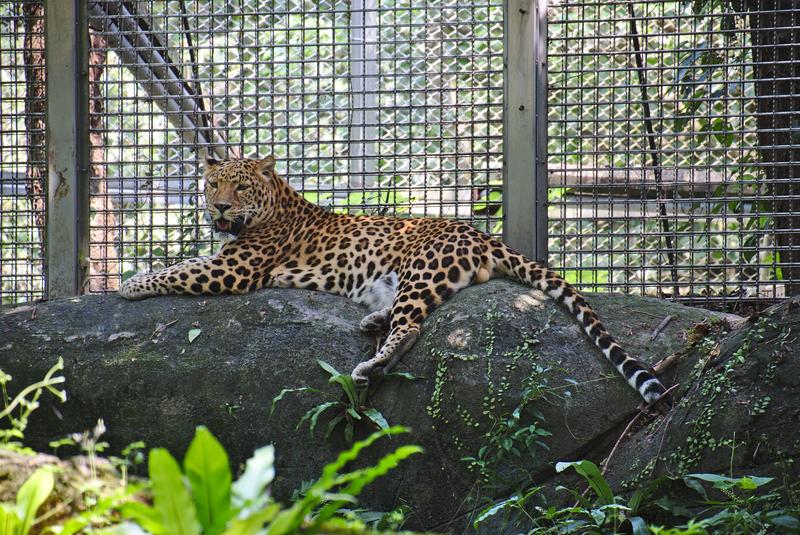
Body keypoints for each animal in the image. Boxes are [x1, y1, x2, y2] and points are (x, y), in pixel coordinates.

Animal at [119, 153, 668, 404]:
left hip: (422, 270)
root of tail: (481, 233)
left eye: (240, 187)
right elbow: (184, 262)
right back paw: (372, 323)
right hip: (399, 280)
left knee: (412, 328)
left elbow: (180, 269)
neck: (275, 202)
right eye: (212, 183)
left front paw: (128, 284)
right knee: (404, 314)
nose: (219, 207)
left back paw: (372, 365)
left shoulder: (232, 269)